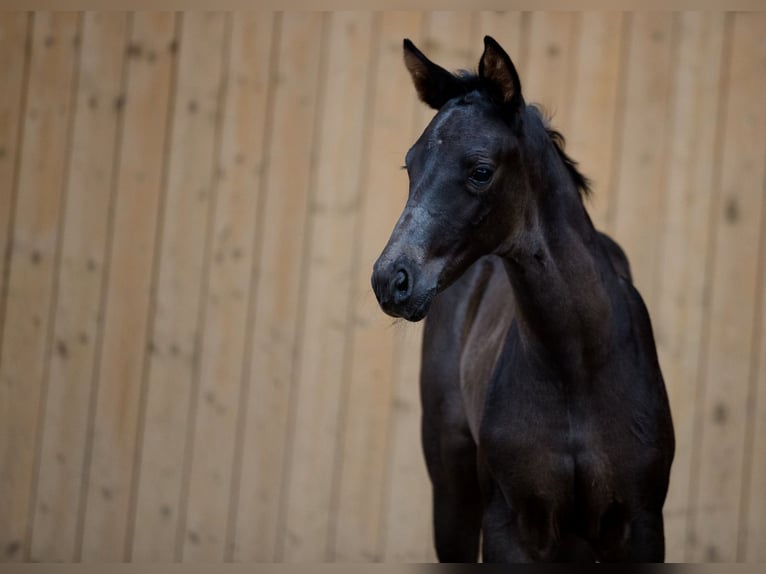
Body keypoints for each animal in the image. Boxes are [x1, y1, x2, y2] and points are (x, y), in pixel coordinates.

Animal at [374, 35, 680, 564]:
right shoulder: (513, 524)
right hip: (453, 490)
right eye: (410, 165)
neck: (577, 364)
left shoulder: (640, 521)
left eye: (480, 170)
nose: (391, 280)